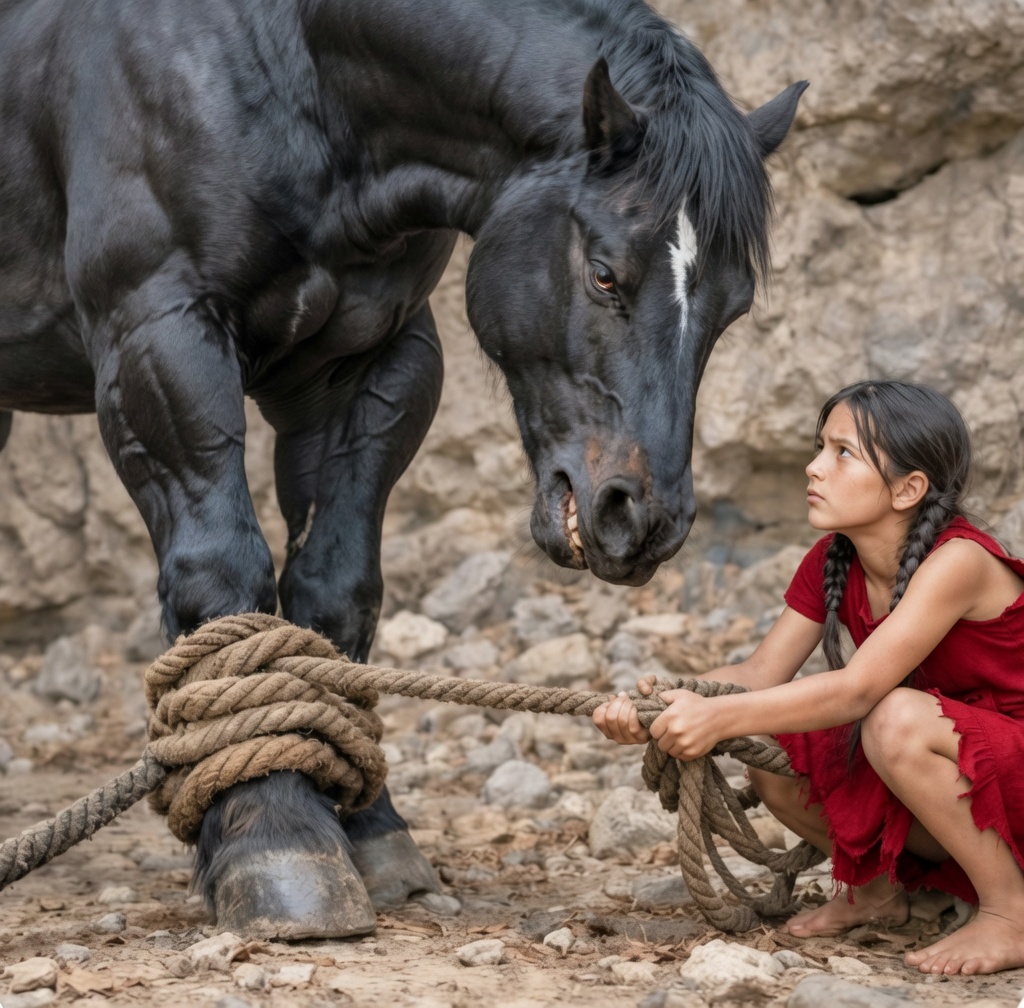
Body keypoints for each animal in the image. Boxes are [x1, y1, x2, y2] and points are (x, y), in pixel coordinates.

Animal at [0, 0, 805, 938]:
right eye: (605, 273)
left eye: (733, 306)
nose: (639, 518)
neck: (279, 65)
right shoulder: (158, 339)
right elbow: (223, 575)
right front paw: (274, 839)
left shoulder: (370, 363)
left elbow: (335, 594)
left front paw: (369, 834)